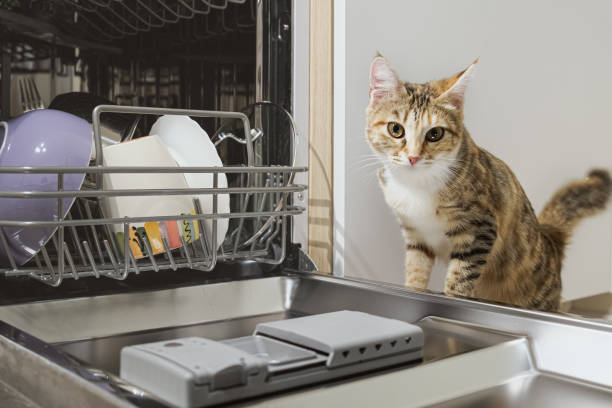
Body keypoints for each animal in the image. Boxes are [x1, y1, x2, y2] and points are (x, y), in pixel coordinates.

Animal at [366, 53, 608, 310]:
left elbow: (460, 278)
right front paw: (413, 291)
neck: (417, 185)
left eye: (435, 134)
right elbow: (416, 271)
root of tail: (548, 237)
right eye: (395, 129)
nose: (413, 157)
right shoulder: (415, 235)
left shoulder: (480, 228)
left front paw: (453, 300)